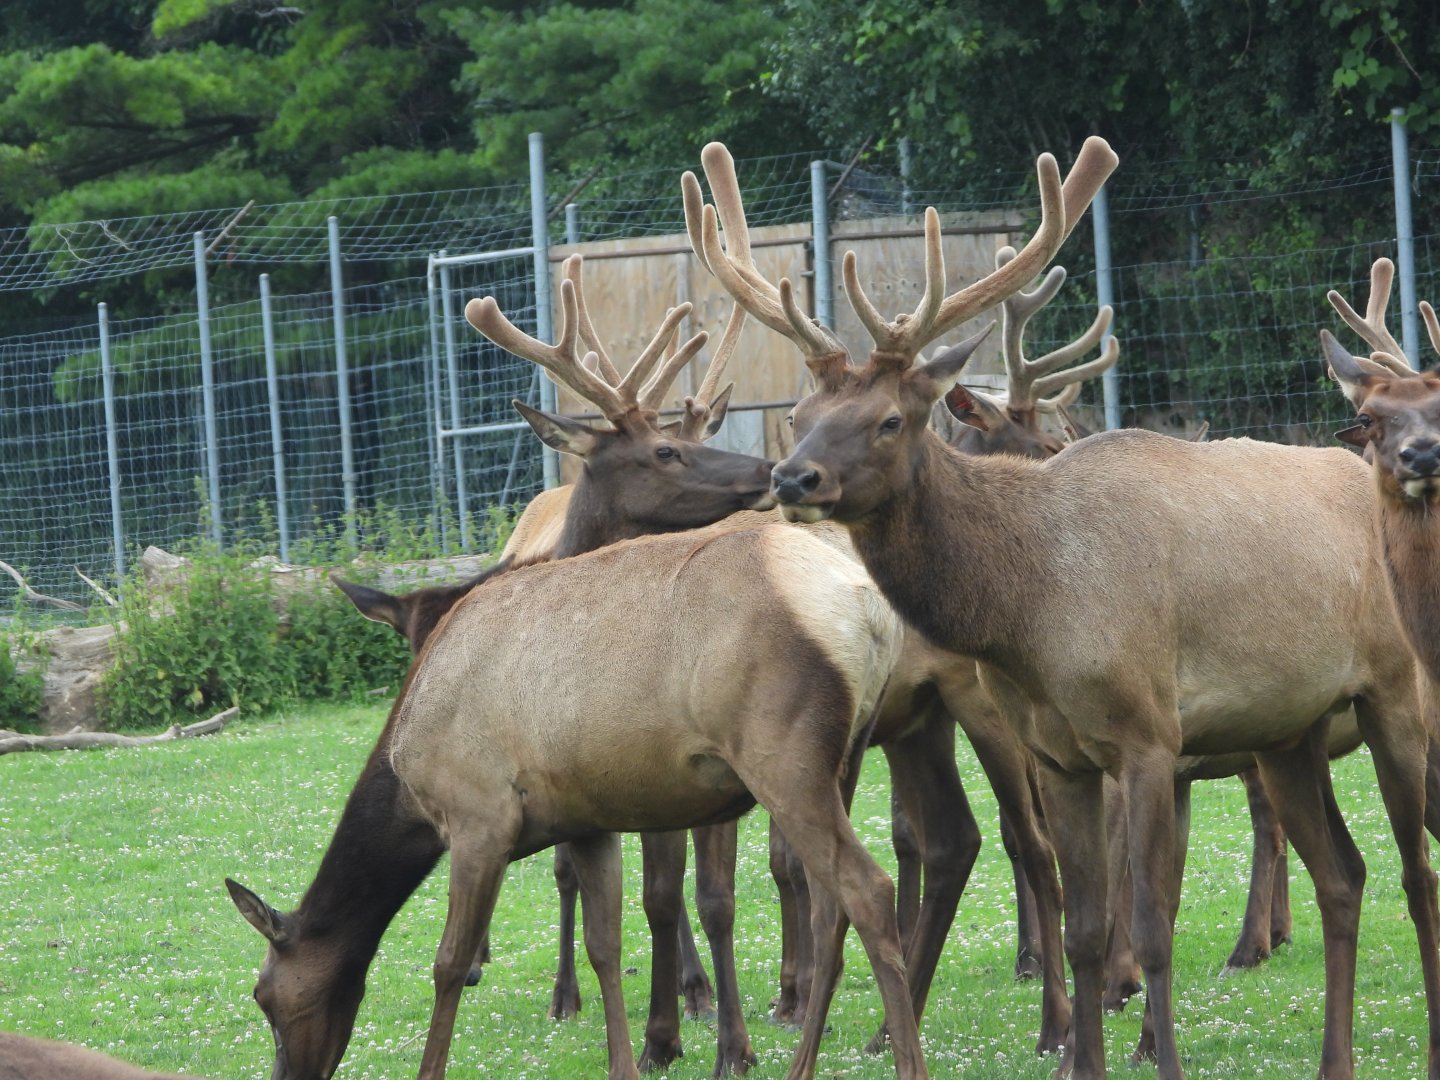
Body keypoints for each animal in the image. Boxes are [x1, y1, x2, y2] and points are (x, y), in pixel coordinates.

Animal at [690, 134, 1440, 1080]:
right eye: (802, 412)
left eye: (891, 418)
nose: (793, 478)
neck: (1031, 612)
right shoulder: (1059, 753)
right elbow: (1085, 929)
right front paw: (1079, 1050)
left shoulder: (1150, 735)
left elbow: (1149, 927)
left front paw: (1158, 1054)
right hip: (1287, 731)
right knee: (1344, 877)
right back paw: (1334, 1058)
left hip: (1394, 694)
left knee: (1417, 873)